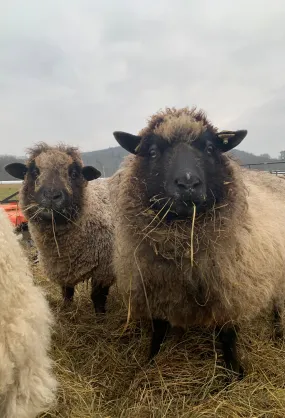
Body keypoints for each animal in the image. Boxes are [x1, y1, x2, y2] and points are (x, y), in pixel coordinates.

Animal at [5, 144, 115, 314]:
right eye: (34, 171)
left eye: (74, 173)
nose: (51, 196)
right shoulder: (62, 267)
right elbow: (66, 292)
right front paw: (67, 308)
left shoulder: (105, 269)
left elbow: (97, 297)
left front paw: (100, 317)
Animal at [111, 107, 285, 376]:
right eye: (153, 151)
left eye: (210, 148)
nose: (188, 183)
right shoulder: (155, 287)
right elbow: (157, 331)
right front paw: (150, 363)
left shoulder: (230, 291)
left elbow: (227, 336)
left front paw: (233, 374)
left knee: (278, 305)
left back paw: (277, 333)